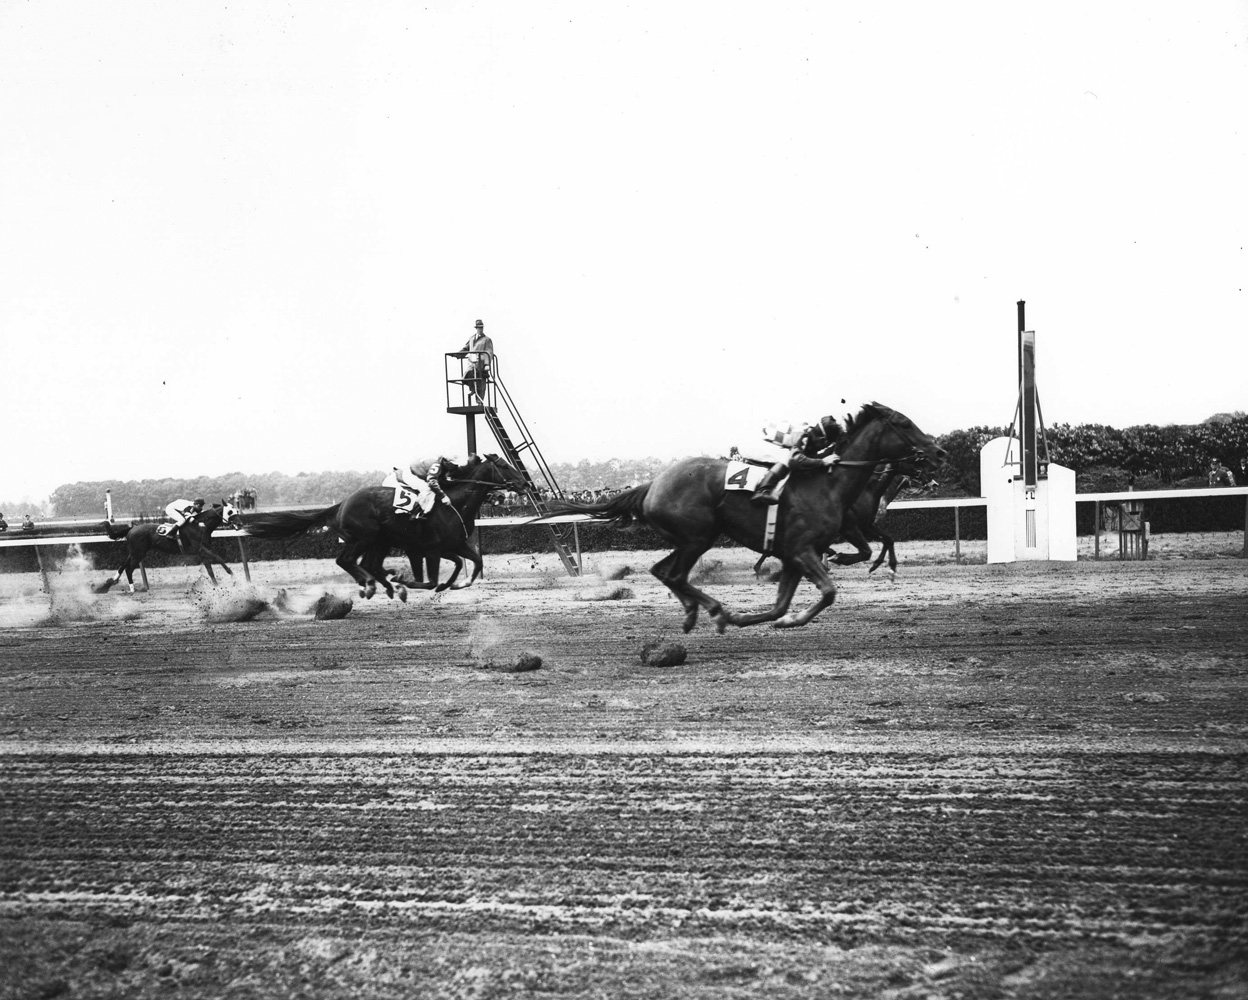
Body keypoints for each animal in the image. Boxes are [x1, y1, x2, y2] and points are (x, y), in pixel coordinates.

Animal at [94, 499, 240, 594]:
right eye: (230, 511)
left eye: (237, 510)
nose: (240, 524)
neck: (201, 527)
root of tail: (132, 528)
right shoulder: (201, 549)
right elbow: (218, 557)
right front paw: (232, 574)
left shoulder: (202, 553)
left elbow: (210, 571)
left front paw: (216, 586)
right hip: (138, 553)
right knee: (128, 569)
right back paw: (132, 589)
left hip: (135, 552)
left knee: (122, 566)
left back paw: (108, 585)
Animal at [242, 454, 526, 601]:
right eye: (503, 465)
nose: (525, 483)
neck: (453, 504)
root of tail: (342, 503)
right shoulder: (431, 549)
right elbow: (430, 579)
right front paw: (406, 581)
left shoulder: (452, 545)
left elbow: (473, 562)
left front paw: (455, 585)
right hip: (364, 538)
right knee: (346, 561)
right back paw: (372, 584)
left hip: (379, 541)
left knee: (366, 564)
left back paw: (380, 584)